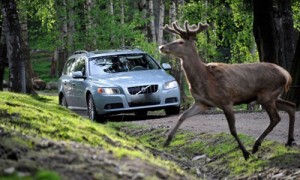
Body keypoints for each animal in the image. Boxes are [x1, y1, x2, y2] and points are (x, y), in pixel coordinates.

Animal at [159, 21, 296, 160]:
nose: (161, 47)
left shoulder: (225, 100)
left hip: (267, 94)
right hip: (272, 96)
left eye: (181, 42)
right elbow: (182, 116)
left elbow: (232, 129)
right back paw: (289, 141)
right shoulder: (202, 103)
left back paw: (256, 145)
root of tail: (287, 75)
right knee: (291, 106)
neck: (204, 78)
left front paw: (245, 153)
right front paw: (167, 141)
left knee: (276, 118)